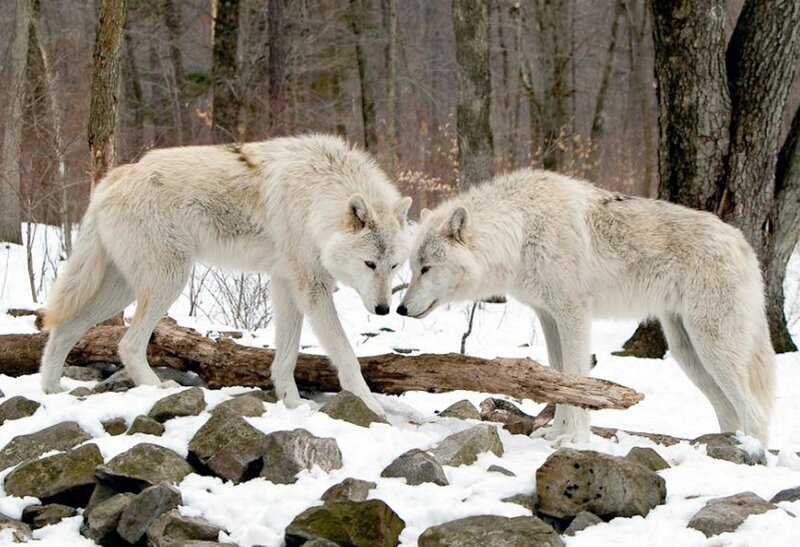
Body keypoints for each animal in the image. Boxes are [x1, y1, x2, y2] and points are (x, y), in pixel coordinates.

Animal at [40, 134, 412, 415]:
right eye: (370, 264)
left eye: (393, 266)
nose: (383, 310)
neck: (316, 195)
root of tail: (113, 179)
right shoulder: (312, 286)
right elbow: (346, 353)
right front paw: (371, 408)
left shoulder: (286, 283)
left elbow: (287, 355)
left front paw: (291, 403)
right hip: (168, 281)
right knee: (127, 344)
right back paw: (157, 389)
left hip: (121, 290)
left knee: (65, 328)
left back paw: (51, 389)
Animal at [398, 168, 774, 444]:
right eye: (413, 268)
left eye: (426, 268)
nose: (400, 309)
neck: (521, 230)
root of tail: (743, 244)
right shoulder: (548, 316)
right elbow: (558, 379)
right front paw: (556, 433)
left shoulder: (573, 314)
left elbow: (577, 377)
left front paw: (574, 439)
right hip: (688, 353)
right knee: (729, 411)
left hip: (712, 347)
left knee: (756, 413)